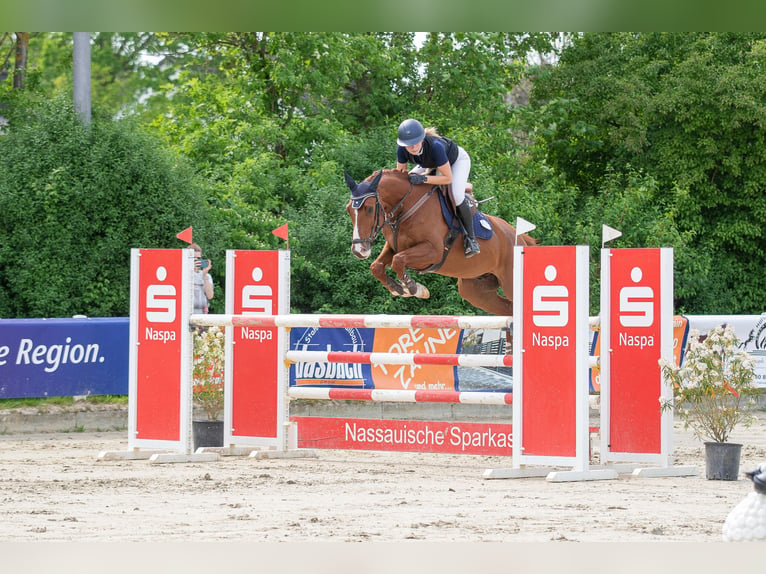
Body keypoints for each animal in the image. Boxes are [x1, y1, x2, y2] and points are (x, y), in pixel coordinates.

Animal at [344, 169, 536, 318]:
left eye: (369, 208)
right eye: (348, 210)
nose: (359, 250)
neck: (406, 207)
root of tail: (520, 238)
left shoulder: (433, 252)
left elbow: (398, 260)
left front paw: (414, 288)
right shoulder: (393, 247)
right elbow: (377, 267)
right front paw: (397, 288)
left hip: (509, 282)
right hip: (475, 290)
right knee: (508, 309)